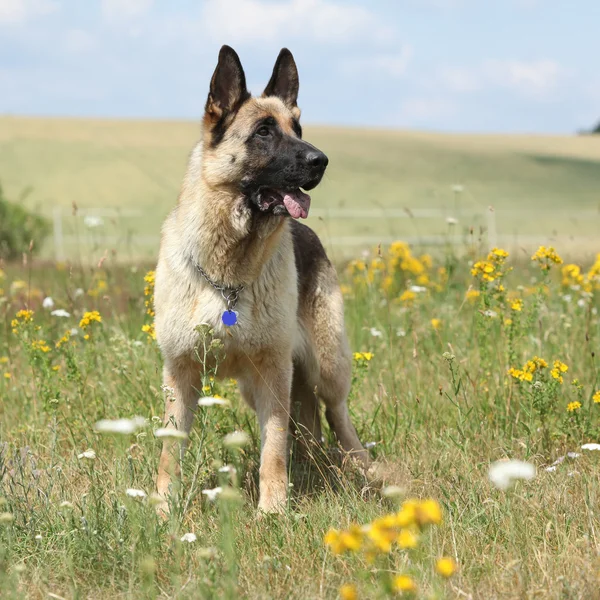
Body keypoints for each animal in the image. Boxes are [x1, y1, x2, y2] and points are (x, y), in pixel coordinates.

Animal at [154, 45, 370, 516]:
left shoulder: (273, 372)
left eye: (298, 129)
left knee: (338, 418)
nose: (321, 161)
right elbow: (169, 452)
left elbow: (272, 450)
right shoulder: (181, 376)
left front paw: (272, 510)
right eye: (264, 132)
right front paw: (161, 508)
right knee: (307, 430)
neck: (227, 275)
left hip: (325, 369)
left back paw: (365, 471)